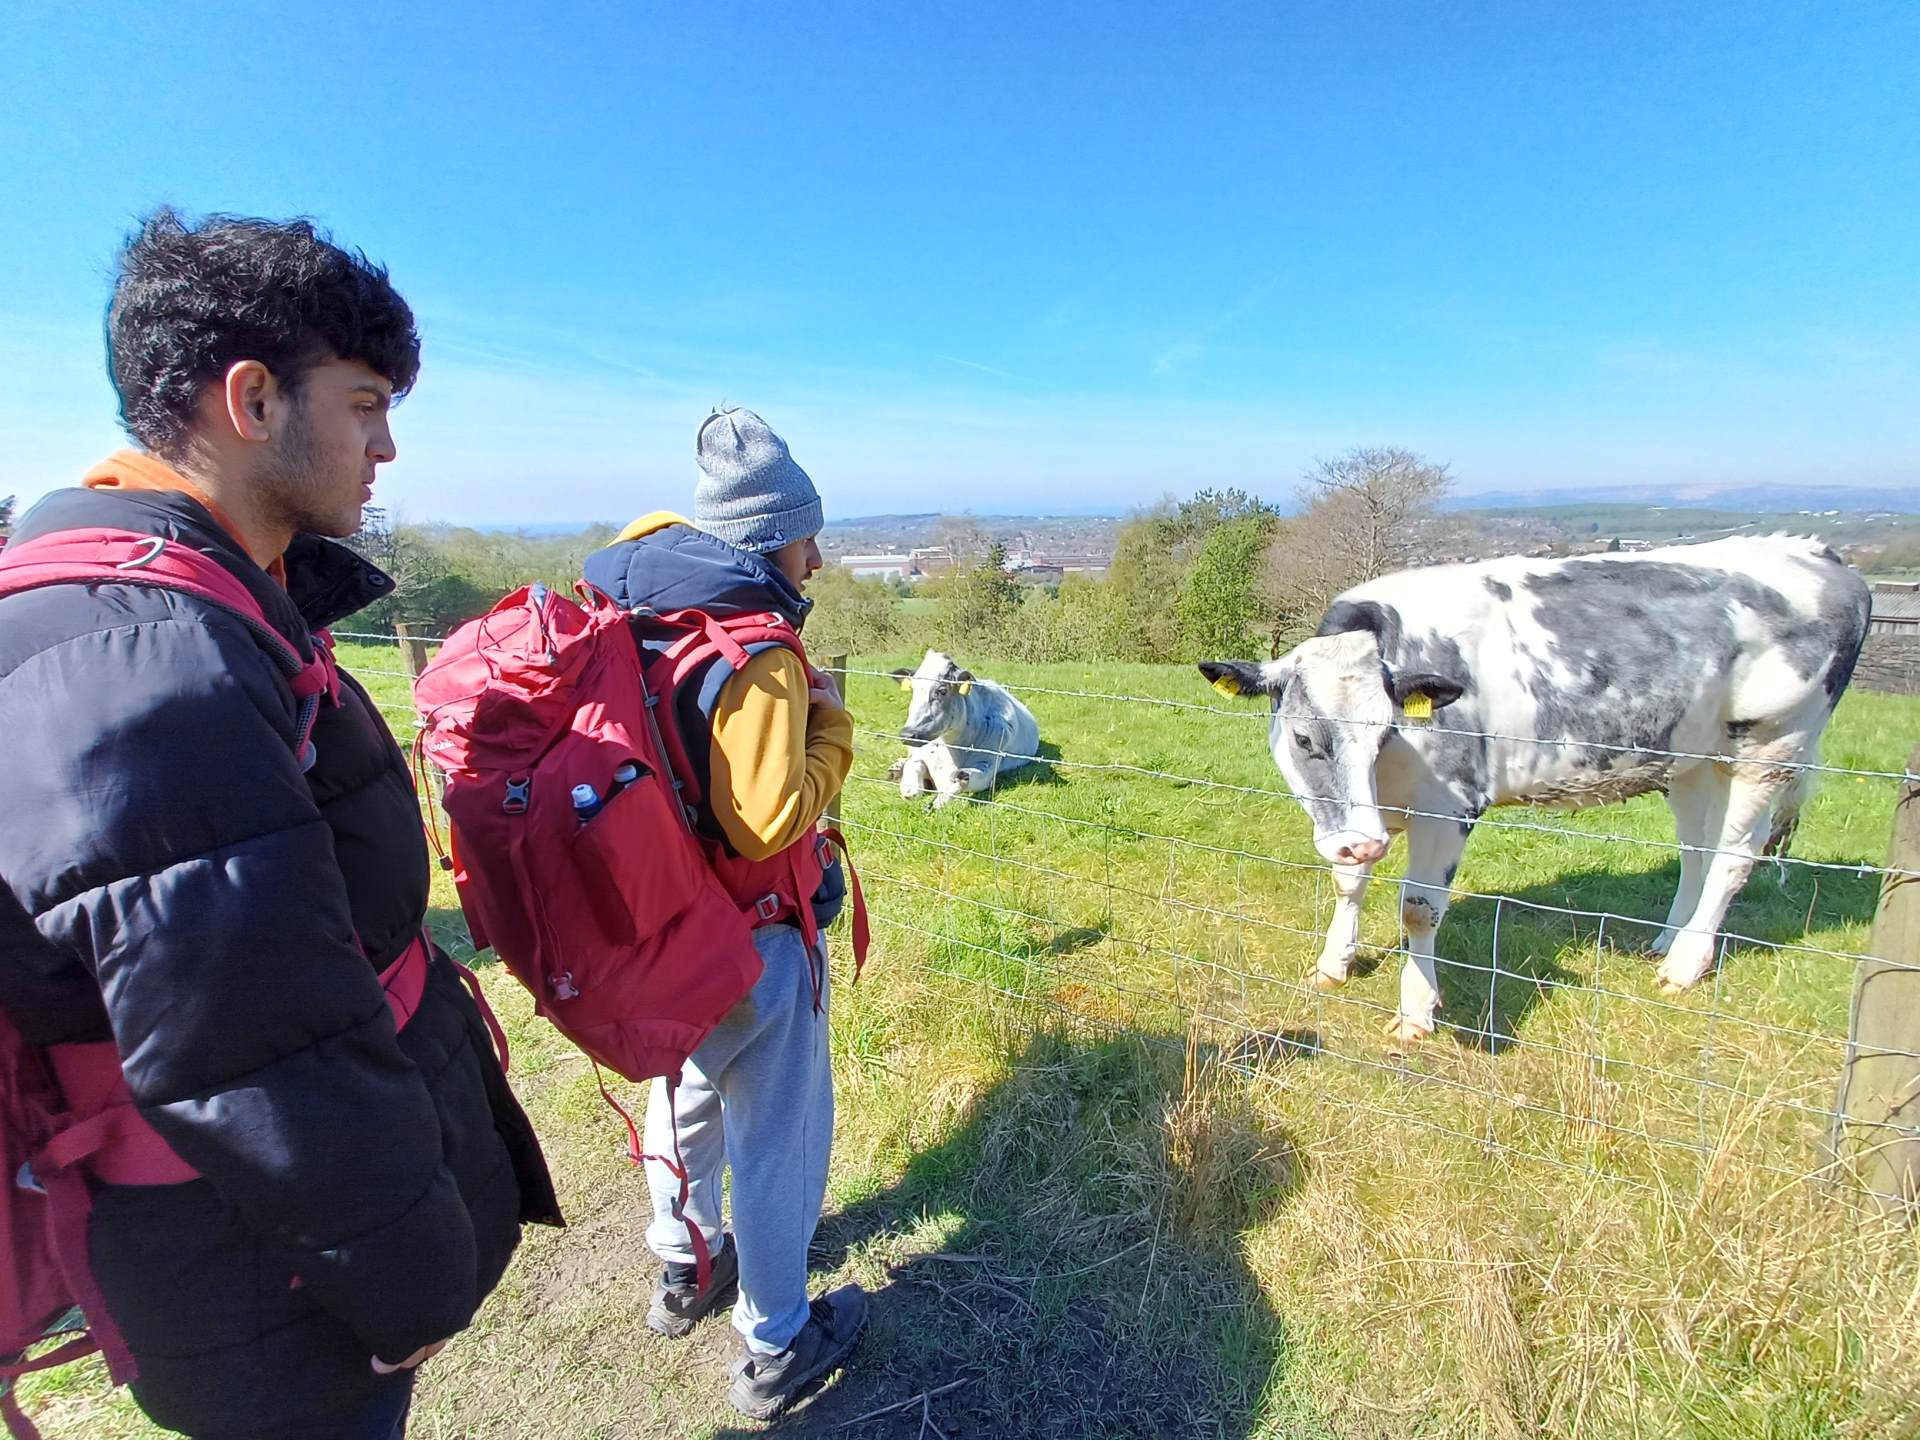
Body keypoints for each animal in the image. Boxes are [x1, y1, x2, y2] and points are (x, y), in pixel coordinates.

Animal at [888, 650, 1043, 807]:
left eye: (942, 691)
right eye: (913, 689)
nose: (907, 734)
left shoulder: (987, 765)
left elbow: (961, 778)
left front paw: (938, 802)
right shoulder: (920, 755)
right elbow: (911, 789)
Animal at [1200, 535, 1870, 1049]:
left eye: (1387, 729)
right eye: (1305, 738)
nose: (1363, 843)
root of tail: (1818, 553)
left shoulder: (1450, 805)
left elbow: (1419, 908)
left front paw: (1417, 1011)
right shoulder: (1360, 819)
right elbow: (1348, 882)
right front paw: (1334, 965)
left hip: (1773, 744)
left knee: (1734, 858)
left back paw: (1686, 965)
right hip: (1694, 760)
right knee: (1697, 852)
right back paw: (1667, 942)